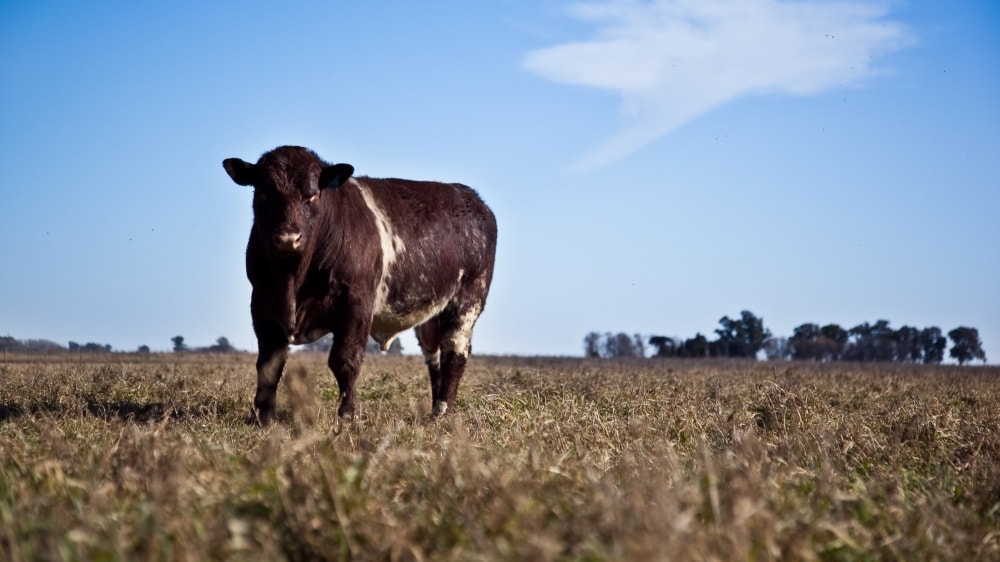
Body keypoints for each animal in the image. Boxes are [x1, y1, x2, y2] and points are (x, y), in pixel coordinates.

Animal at [223, 144, 496, 420]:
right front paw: (262, 416)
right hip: (431, 313)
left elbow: (345, 360)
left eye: (312, 195)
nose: (288, 238)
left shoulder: (356, 303)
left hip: (468, 300)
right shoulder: (262, 303)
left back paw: (444, 411)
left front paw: (349, 414)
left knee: (455, 352)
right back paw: (433, 411)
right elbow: (269, 363)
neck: (293, 281)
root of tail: (473, 199)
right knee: (435, 356)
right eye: (263, 193)